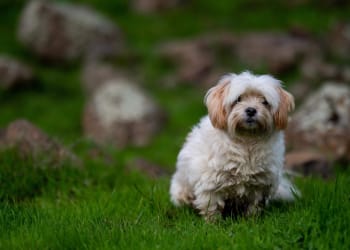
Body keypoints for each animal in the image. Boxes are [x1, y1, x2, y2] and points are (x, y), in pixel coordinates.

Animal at [170, 71, 298, 220]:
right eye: (238, 99)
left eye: (264, 102)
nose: (251, 110)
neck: (247, 140)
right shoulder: (210, 183)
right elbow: (211, 205)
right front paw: (213, 222)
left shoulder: (260, 185)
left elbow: (254, 206)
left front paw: (251, 220)